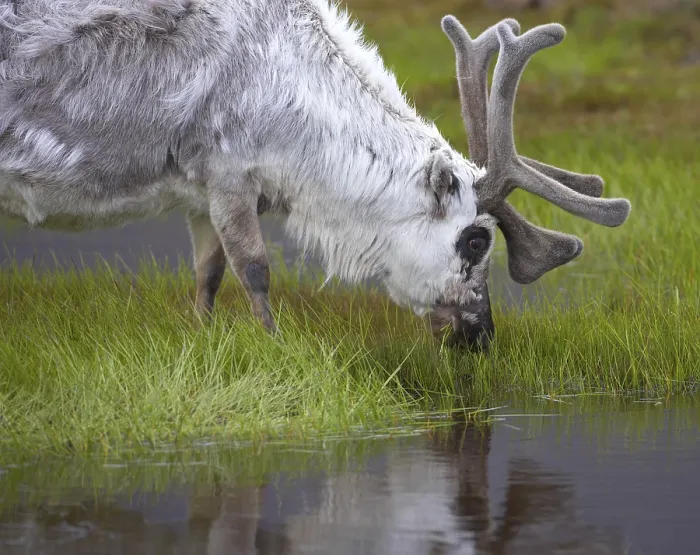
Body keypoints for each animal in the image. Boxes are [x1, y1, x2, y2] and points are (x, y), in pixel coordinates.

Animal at [0, 1, 631, 351]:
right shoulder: (229, 172)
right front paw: (275, 345)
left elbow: (207, 276)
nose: (481, 335)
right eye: (476, 240)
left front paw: (201, 339)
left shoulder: (201, 191)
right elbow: (254, 270)